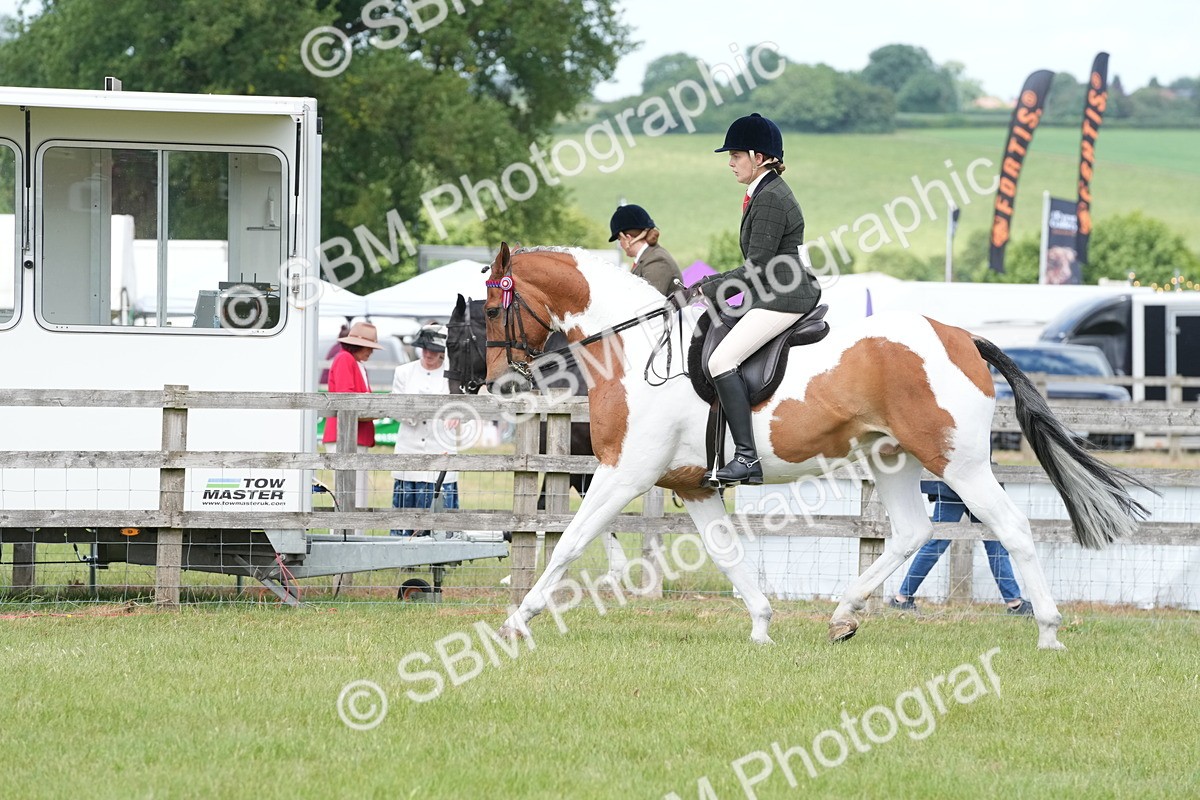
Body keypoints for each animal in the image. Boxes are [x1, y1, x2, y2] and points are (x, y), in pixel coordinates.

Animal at [481, 243, 1151, 650]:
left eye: (489, 308)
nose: (494, 383)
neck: (637, 349)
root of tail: (961, 336)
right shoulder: (692, 484)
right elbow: (727, 554)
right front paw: (761, 626)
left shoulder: (624, 472)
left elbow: (570, 543)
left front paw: (517, 621)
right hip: (892, 458)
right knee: (912, 530)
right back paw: (842, 614)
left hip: (957, 462)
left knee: (1010, 528)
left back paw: (1048, 630)